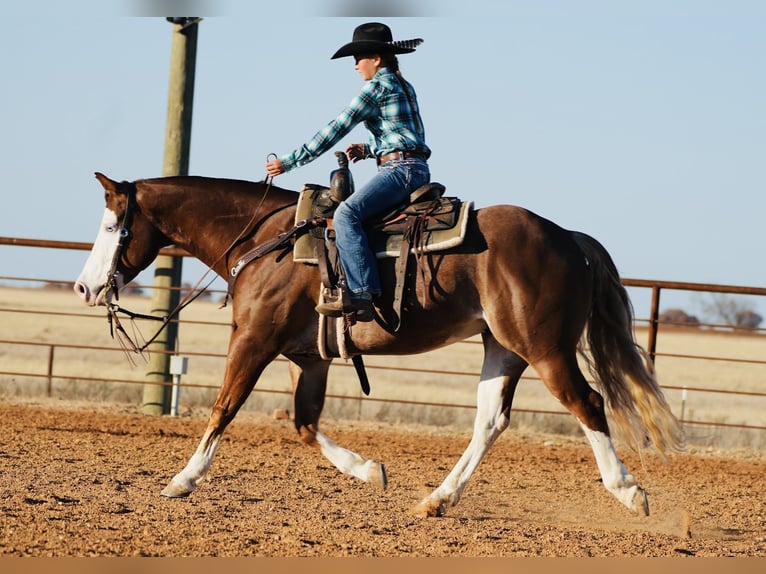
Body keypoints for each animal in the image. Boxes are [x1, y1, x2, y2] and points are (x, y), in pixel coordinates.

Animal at [73, 171, 683, 518]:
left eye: (110, 227)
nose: (84, 287)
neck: (266, 242)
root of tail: (570, 240)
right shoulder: (309, 358)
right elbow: (304, 424)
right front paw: (370, 471)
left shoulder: (255, 339)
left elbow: (224, 407)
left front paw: (181, 481)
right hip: (503, 349)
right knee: (490, 421)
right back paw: (437, 500)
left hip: (545, 349)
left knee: (589, 404)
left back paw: (629, 492)